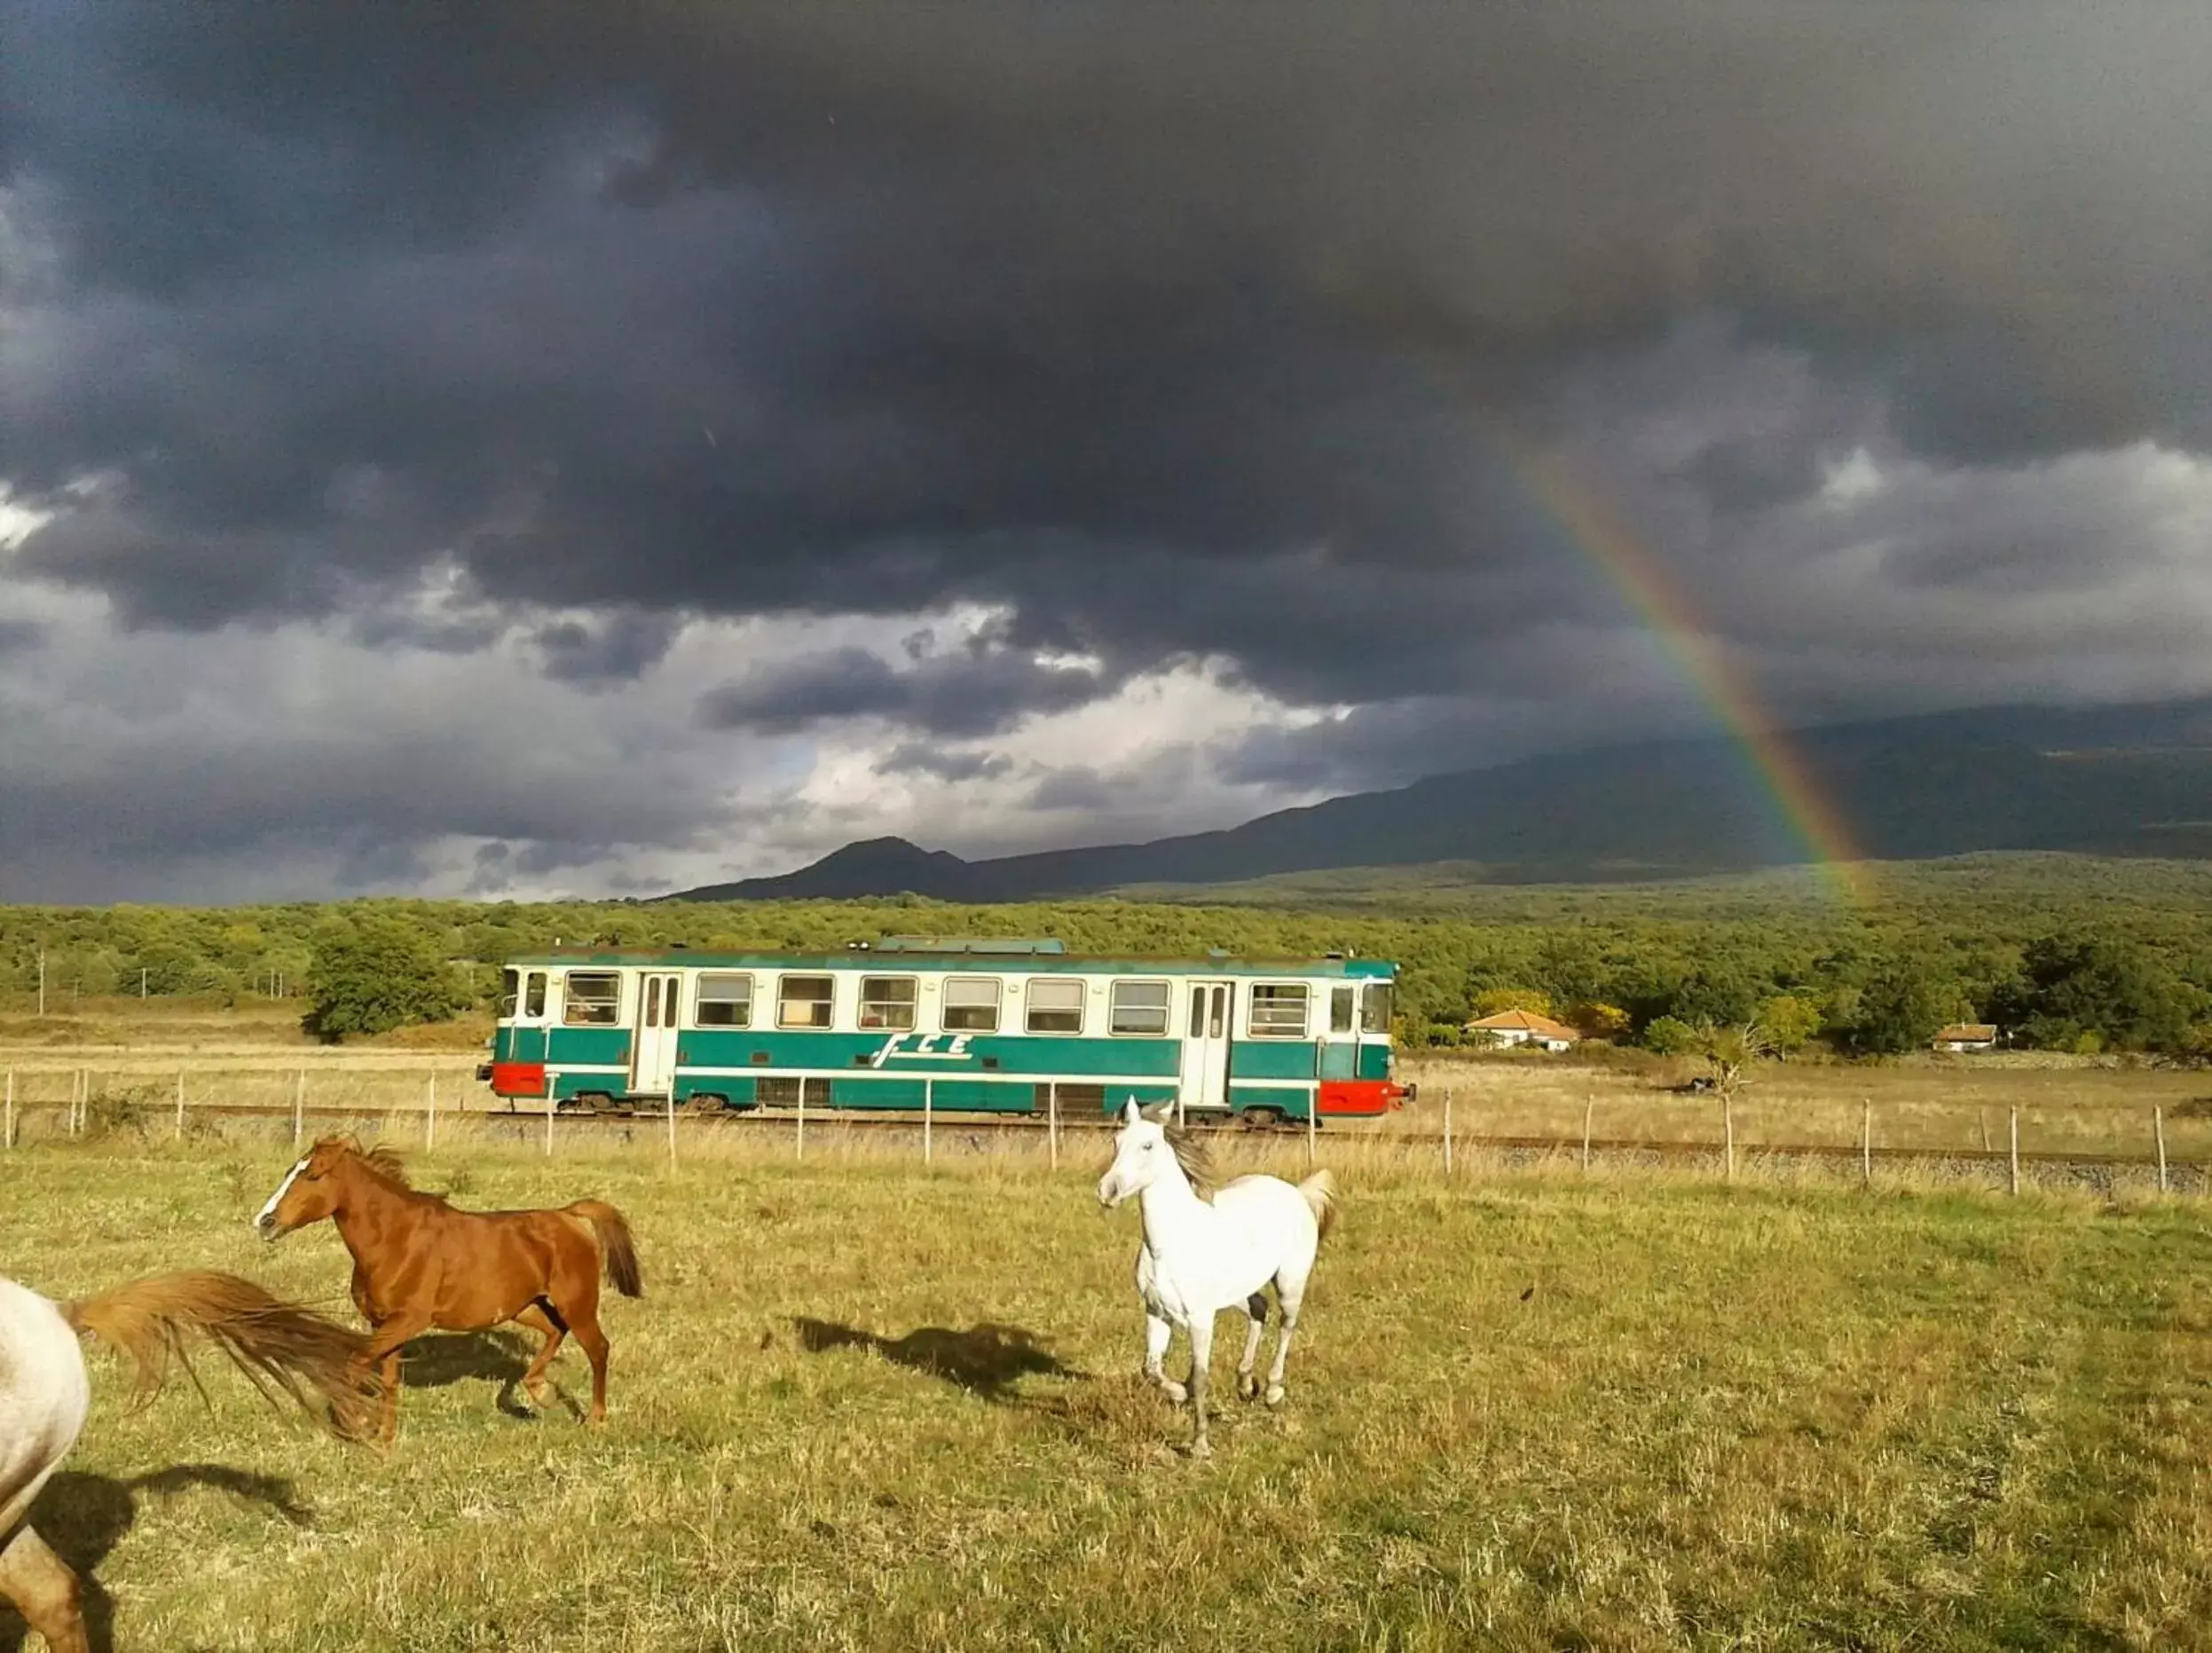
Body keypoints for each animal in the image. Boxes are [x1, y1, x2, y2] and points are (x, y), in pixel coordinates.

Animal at [257, 1141, 645, 1443]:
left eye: (313, 1175)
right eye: (291, 1170)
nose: (264, 1222)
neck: (395, 1240)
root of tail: (568, 1216)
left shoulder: (408, 1321)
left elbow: (354, 1367)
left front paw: (358, 1423)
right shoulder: (383, 1324)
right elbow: (388, 1380)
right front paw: (385, 1437)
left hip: (577, 1303)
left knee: (598, 1348)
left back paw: (595, 1419)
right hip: (523, 1306)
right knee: (555, 1330)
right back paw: (541, 1392)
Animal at [1097, 1106, 1335, 1452]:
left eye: (1147, 1146)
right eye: (1116, 1141)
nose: (1107, 1191)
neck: (1169, 1245)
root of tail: (1297, 1193)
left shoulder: (1200, 1319)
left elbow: (1200, 1377)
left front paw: (1200, 1445)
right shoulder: (1156, 1312)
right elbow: (1150, 1369)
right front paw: (1179, 1393)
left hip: (1291, 1282)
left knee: (1286, 1325)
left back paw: (1273, 1393)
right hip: (1239, 1291)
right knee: (1259, 1308)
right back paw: (1246, 1384)